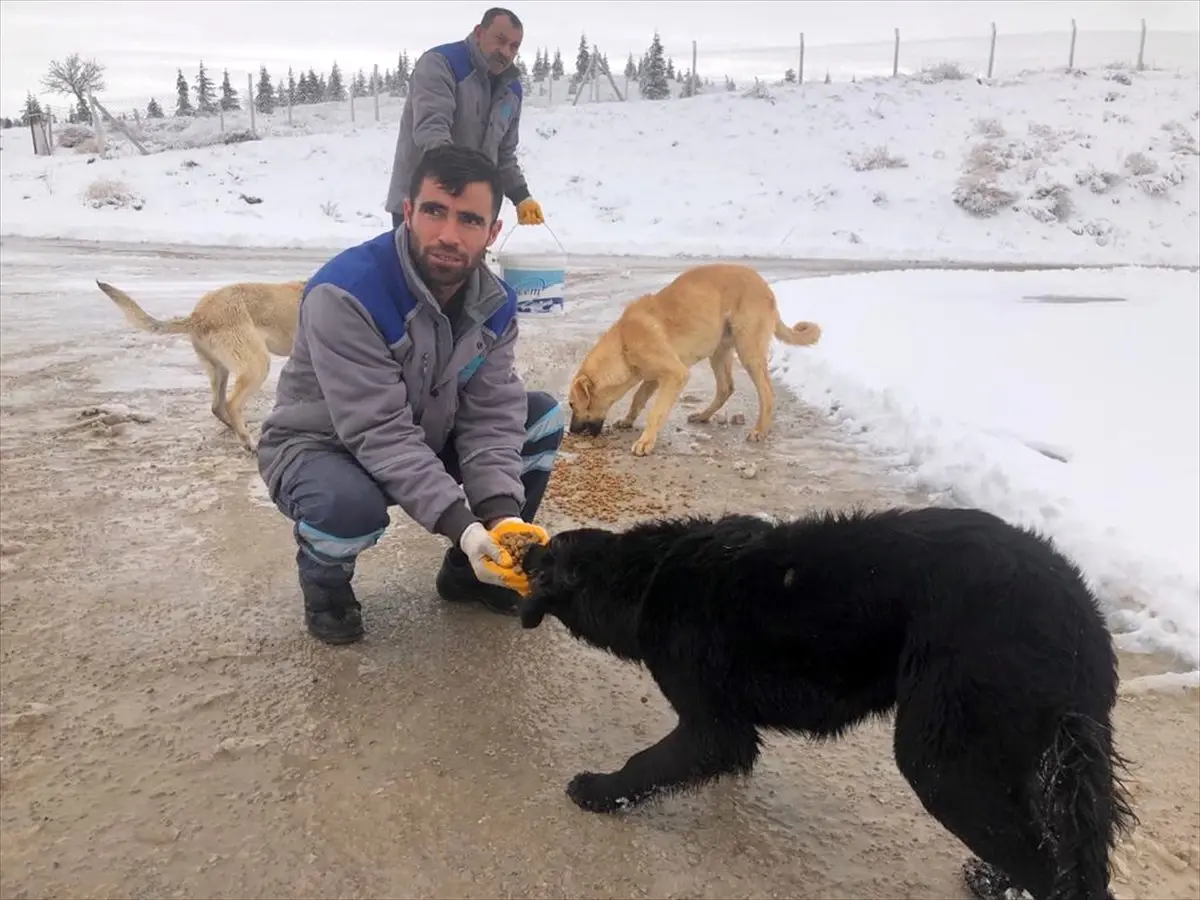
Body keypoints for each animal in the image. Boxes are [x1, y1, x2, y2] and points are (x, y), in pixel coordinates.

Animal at [97, 280, 304, 453]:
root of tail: (196, 316)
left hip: (220, 369)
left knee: (217, 406)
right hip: (257, 365)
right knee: (231, 404)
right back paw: (248, 442)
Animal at [518, 508, 1132, 900]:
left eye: (545, 555)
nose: (523, 548)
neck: (647, 576)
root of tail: (1079, 615)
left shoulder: (712, 725)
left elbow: (650, 762)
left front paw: (600, 791)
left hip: (943, 760)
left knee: (1055, 871)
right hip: (1019, 755)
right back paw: (992, 880)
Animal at [566, 262, 820, 458]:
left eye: (571, 404)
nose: (572, 431)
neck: (624, 343)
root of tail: (766, 287)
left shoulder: (675, 375)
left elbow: (656, 412)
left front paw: (646, 441)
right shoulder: (654, 377)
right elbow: (637, 399)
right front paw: (628, 420)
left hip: (748, 351)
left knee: (766, 392)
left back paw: (759, 430)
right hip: (719, 351)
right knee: (726, 387)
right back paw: (703, 416)